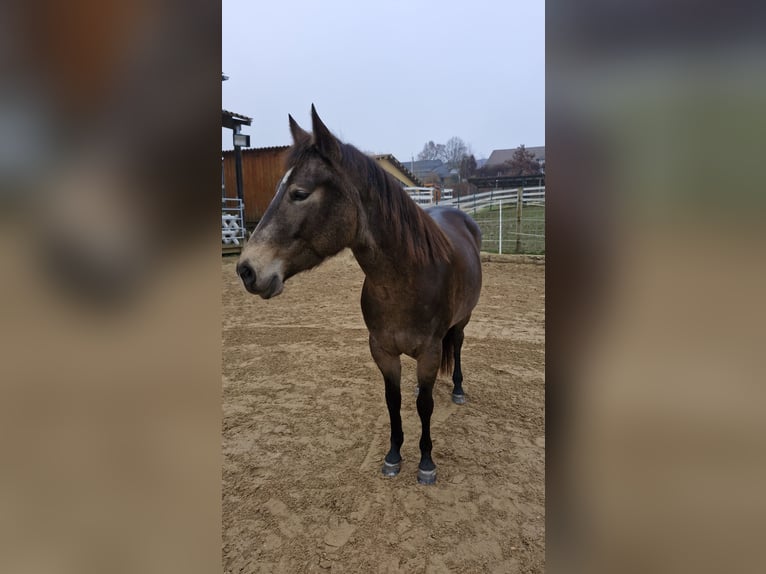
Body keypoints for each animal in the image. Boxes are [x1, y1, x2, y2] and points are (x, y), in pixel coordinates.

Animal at [236, 106, 482, 484]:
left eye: (299, 193)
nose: (247, 269)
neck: (405, 282)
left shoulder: (429, 350)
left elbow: (425, 406)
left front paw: (426, 462)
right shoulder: (382, 350)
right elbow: (393, 401)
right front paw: (393, 455)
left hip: (462, 320)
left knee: (455, 346)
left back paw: (457, 390)